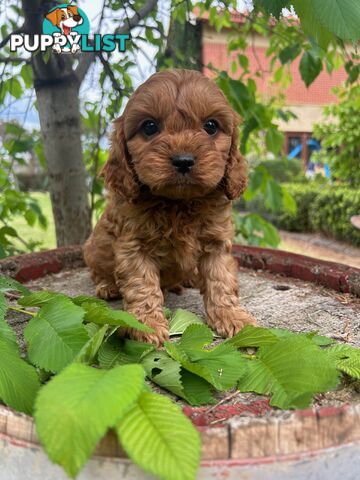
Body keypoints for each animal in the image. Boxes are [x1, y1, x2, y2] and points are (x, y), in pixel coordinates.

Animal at [83, 68, 256, 344]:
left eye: (211, 126)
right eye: (149, 126)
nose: (183, 160)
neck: (179, 203)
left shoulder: (217, 242)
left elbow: (221, 280)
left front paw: (232, 317)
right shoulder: (133, 246)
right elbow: (142, 284)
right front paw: (146, 324)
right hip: (93, 249)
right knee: (97, 271)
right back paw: (107, 286)